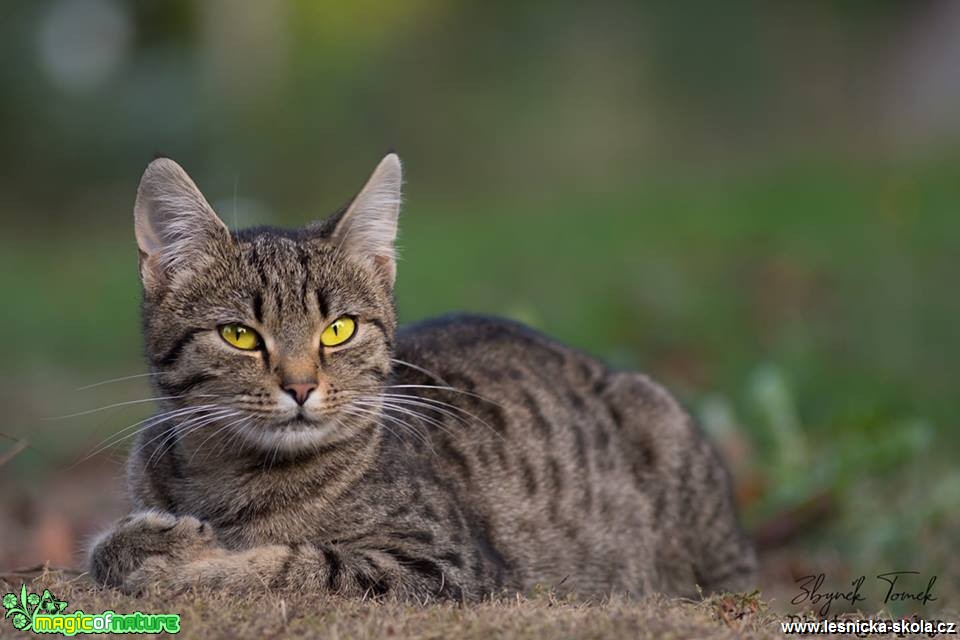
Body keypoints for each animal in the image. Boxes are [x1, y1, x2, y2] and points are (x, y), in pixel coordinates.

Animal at [88, 154, 756, 600]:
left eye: (339, 329)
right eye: (240, 335)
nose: (300, 387)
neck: (228, 478)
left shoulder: (448, 567)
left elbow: (298, 566)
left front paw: (184, 563)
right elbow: (105, 547)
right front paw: (147, 545)